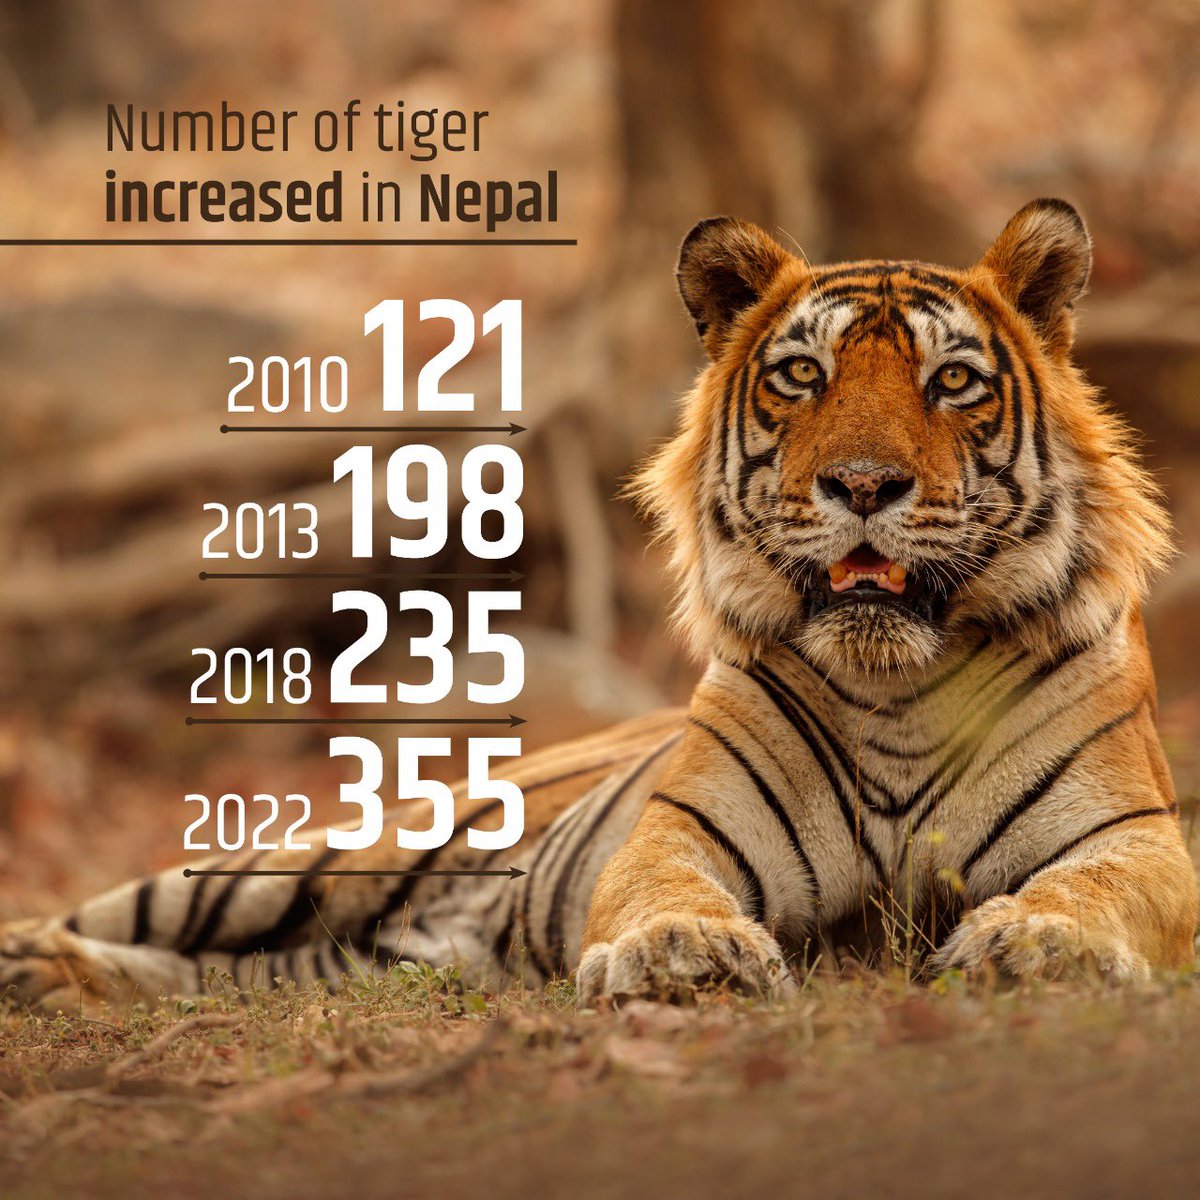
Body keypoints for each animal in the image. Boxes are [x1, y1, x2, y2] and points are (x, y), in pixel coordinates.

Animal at [1, 198, 1195, 1015]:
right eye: (801, 376)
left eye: (952, 381)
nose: (862, 485)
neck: (895, 685)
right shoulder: (677, 832)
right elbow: (665, 890)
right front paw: (684, 953)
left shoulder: (1133, 839)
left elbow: (1095, 894)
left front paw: (1039, 945)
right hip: (316, 856)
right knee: (124, 916)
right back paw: (34, 962)